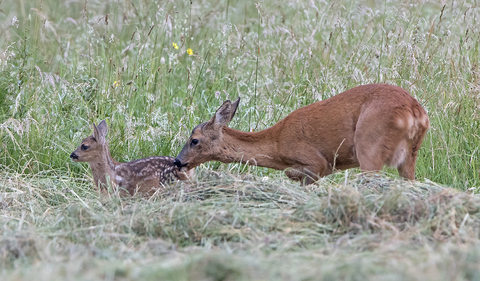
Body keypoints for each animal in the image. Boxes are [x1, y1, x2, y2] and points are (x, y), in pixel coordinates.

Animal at [174, 83, 430, 184]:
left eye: (194, 140)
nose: (177, 162)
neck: (277, 145)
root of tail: (415, 111)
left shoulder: (315, 162)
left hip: (369, 145)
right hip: (410, 154)